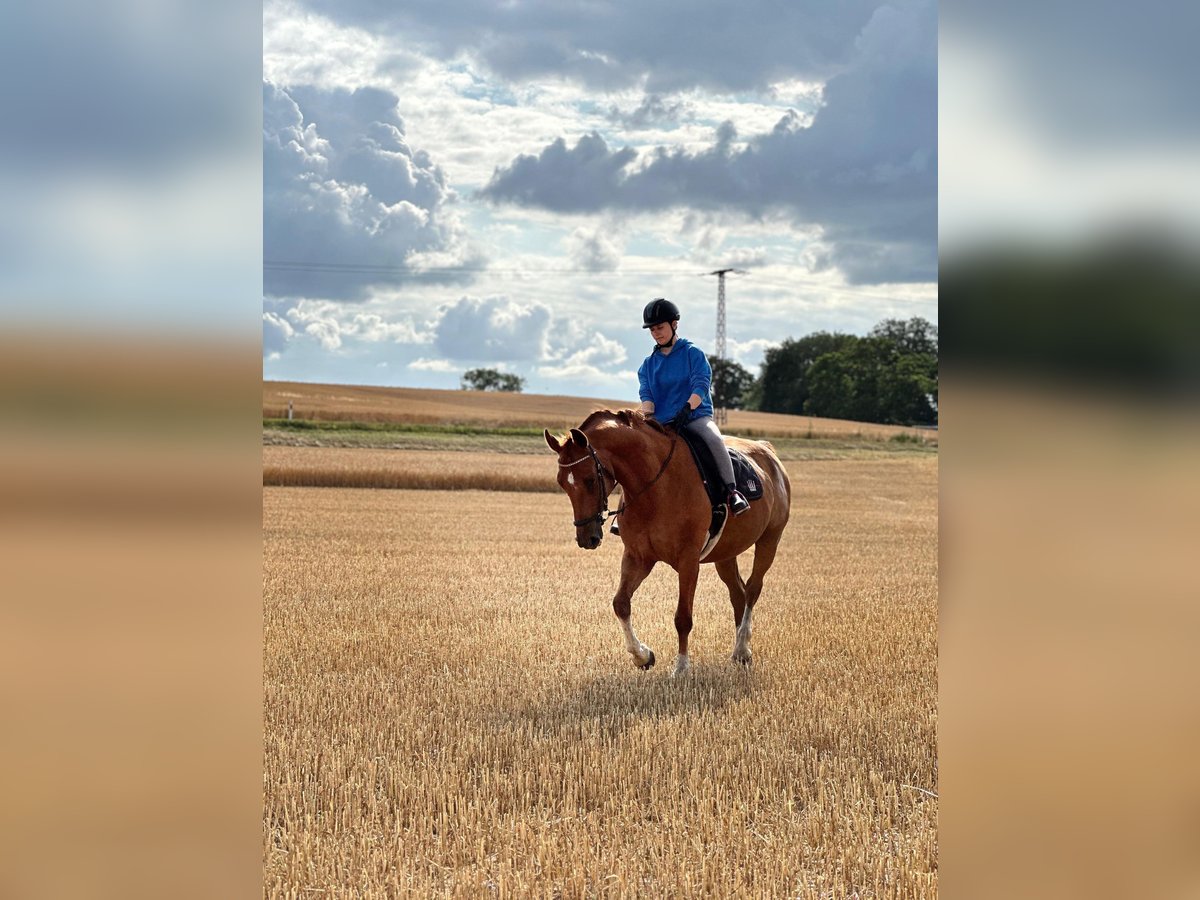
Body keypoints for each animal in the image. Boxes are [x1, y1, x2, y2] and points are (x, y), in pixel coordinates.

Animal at [544, 409, 792, 677]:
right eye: (561, 482)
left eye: (590, 479)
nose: (586, 538)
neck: (655, 488)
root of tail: (767, 451)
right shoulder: (638, 557)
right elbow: (621, 604)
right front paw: (642, 656)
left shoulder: (688, 562)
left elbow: (682, 618)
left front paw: (681, 667)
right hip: (726, 553)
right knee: (738, 593)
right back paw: (739, 651)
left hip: (770, 540)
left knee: (753, 590)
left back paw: (743, 647)